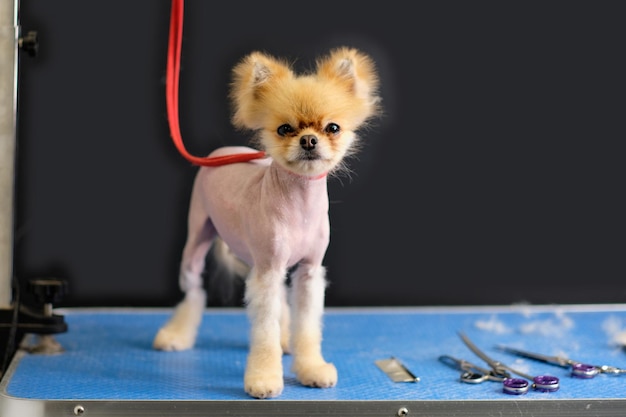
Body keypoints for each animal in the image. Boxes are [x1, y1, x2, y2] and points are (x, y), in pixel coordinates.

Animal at [154, 45, 382, 396]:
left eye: (332, 128)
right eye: (285, 129)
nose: (309, 140)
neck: (299, 206)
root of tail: (223, 151)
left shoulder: (307, 273)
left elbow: (307, 327)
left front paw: (311, 367)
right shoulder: (267, 273)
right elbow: (264, 330)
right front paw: (263, 377)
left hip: (256, 258)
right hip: (198, 240)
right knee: (193, 292)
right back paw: (177, 334)